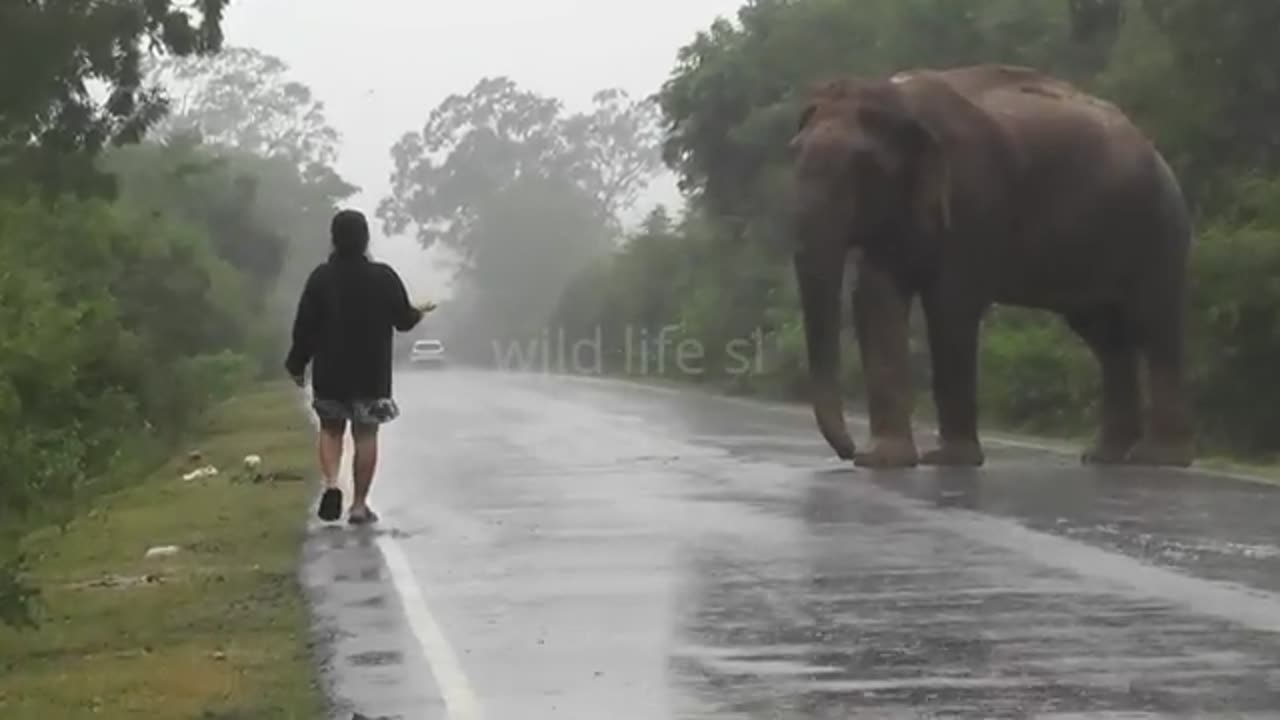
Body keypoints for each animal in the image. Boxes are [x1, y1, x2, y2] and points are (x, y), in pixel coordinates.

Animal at [788, 64, 1194, 469]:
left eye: (864, 167)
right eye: (793, 153)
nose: (847, 450)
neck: (896, 98)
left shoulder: (973, 199)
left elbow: (950, 307)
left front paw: (948, 459)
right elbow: (877, 300)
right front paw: (883, 460)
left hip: (1160, 230)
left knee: (1154, 325)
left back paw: (1157, 458)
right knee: (1105, 337)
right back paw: (1103, 456)